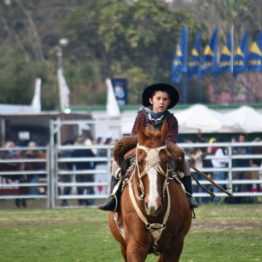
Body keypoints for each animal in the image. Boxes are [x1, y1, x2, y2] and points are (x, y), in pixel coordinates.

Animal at [107, 122, 191, 262]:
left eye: (166, 161)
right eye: (139, 162)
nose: (153, 205)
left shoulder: (175, 247)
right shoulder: (135, 247)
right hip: (123, 247)